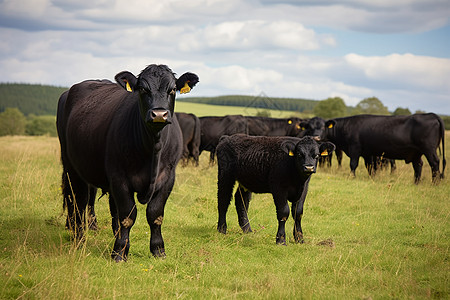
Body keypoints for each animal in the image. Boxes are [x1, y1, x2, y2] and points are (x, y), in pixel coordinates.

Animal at [56, 65, 199, 260]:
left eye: (172, 90)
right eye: (143, 89)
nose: (159, 114)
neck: (153, 147)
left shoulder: (168, 178)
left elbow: (155, 214)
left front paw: (158, 249)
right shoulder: (119, 178)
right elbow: (127, 215)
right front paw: (119, 251)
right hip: (72, 166)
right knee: (78, 200)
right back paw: (78, 236)